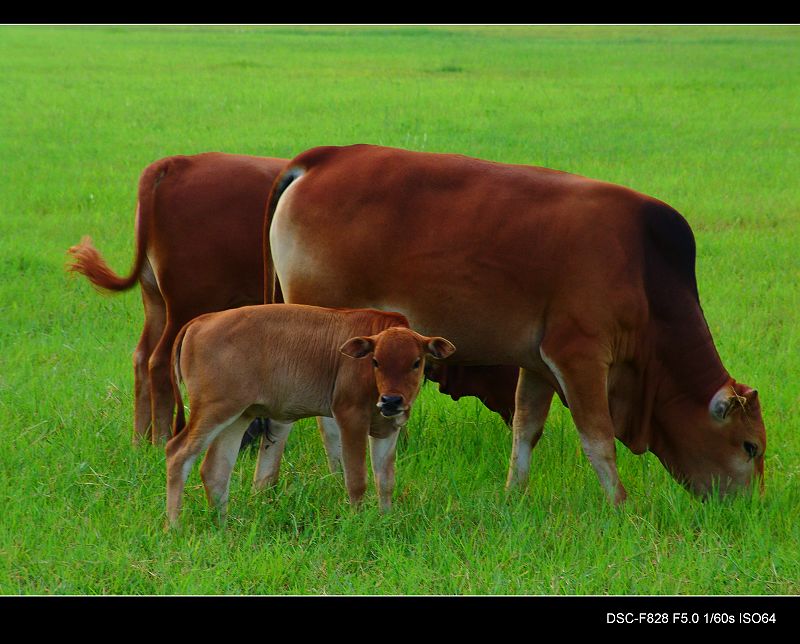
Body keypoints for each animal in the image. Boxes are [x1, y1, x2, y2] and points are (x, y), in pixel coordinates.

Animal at [68, 152, 288, 442]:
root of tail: (176, 162)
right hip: (189, 303)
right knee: (161, 363)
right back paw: (160, 440)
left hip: (155, 300)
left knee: (142, 358)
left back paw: (140, 440)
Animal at [165, 304, 454, 524]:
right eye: (375, 361)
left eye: (416, 362)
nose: (391, 400)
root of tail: (201, 321)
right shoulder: (350, 418)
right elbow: (357, 479)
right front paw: (359, 521)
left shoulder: (388, 429)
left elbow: (385, 481)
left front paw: (385, 519)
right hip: (213, 410)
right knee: (178, 454)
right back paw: (174, 526)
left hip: (238, 416)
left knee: (215, 470)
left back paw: (223, 525)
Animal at [266, 145, 764, 504]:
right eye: (750, 447)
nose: (752, 508)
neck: (642, 271)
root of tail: (323, 159)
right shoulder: (579, 356)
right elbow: (598, 439)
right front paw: (622, 506)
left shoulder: (539, 365)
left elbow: (526, 430)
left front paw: (514, 495)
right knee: (323, 420)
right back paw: (331, 479)